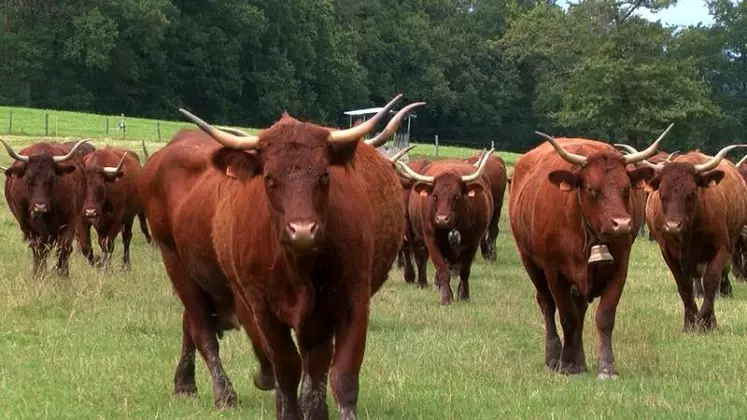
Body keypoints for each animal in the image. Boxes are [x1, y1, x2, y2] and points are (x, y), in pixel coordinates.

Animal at [1, 139, 93, 278]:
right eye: (28, 179)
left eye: (51, 179)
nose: (40, 206)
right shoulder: (29, 228)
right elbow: (39, 251)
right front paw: (39, 274)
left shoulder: (70, 222)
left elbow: (63, 249)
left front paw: (63, 275)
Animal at [398, 151, 496, 306]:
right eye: (435, 196)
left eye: (457, 195)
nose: (442, 219)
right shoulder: (430, 240)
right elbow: (442, 269)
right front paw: (446, 298)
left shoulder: (473, 243)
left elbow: (464, 271)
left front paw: (463, 296)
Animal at [508, 127, 672, 378]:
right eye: (592, 189)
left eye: (626, 189)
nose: (622, 224)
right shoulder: (554, 271)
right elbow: (567, 316)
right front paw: (567, 365)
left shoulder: (620, 268)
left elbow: (604, 317)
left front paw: (606, 367)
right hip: (530, 262)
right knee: (547, 304)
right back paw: (553, 357)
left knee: (581, 311)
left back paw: (581, 361)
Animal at [632, 144, 747, 332]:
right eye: (662, 193)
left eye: (692, 193)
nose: (672, 226)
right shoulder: (669, 253)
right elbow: (684, 286)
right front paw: (690, 323)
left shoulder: (721, 247)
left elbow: (711, 281)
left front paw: (706, 322)